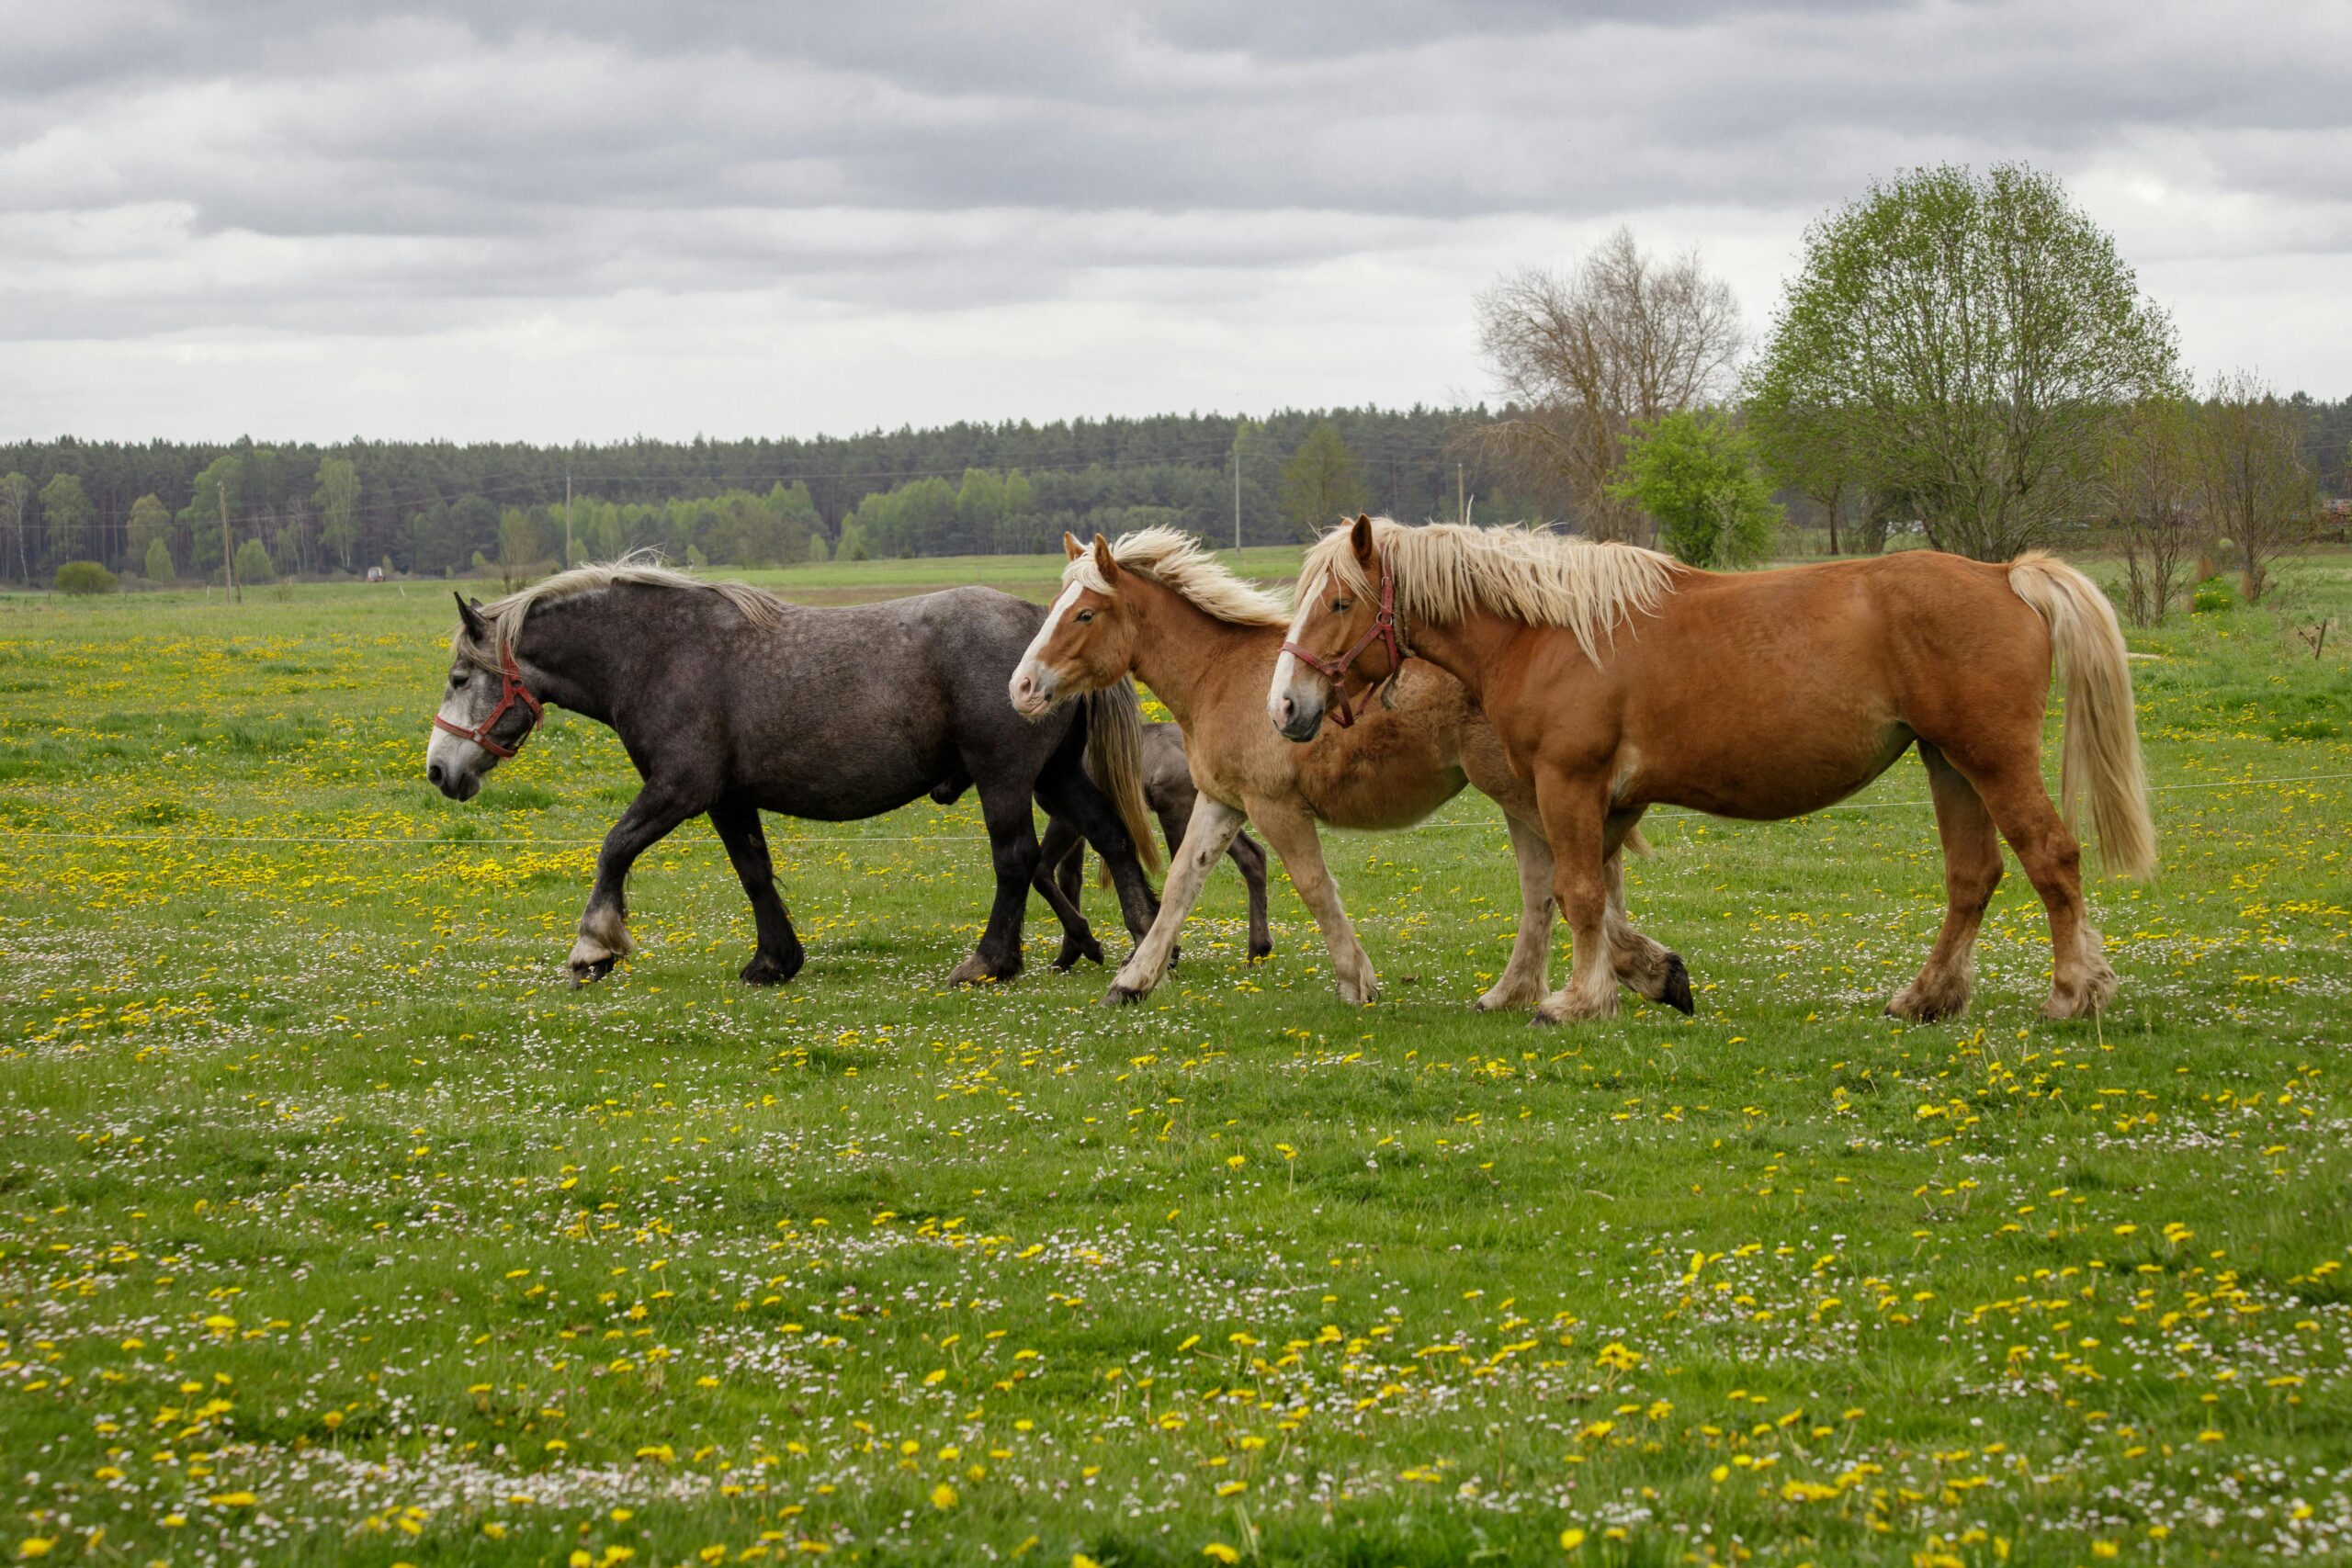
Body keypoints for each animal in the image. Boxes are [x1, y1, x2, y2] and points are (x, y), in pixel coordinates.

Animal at [427, 557, 1161, 987]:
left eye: (460, 678)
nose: (438, 770)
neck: (661, 652)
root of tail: (1044, 628)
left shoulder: (680, 788)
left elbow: (614, 848)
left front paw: (593, 947)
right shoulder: (727, 798)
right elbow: (753, 872)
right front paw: (775, 960)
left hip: (1006, 778)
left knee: (1015, 860)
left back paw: (990, 962)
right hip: (1054, 775)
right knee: (1111, 836)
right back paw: (1146, 939)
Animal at [1001, 526, 1683, 1010]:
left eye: (1084, 614)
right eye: (1057, 605)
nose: (1023, 687)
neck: (1219, 676)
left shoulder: (1276, 807)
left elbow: (1314, 886)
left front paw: (1358, 980)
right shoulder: (1220, 802)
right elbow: (1180, 886)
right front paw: (1133, 981)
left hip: (1522, 792)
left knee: (1568, 879)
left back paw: (1620, 974)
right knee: (1571, 878)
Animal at [1270, 517, 2154, 1029]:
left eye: (1340, 602)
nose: (1286, 705)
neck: (1548, 631)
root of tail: (2007, 575)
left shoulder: (1569, 782)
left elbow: (1577, 893)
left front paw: (1575, 1001)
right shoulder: (1609, 802)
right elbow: (1595, 899)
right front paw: (1644, 977)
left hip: (1992, 760)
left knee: (2051, 859)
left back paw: (2072, 992)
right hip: (1950, 764)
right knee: (1973, 876)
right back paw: (1927, 997)